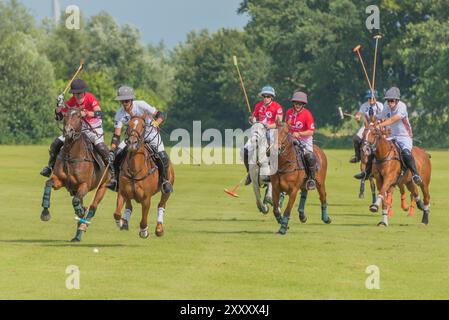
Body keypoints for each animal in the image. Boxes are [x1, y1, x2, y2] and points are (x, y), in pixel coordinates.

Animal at [40, 106, 110, 241]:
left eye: (78, 116)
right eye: (65, 115)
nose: (68, 131)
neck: (71, 155)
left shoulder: (84, 185)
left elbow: (77, 202)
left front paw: (81, 212)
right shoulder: (60, 181)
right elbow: (48, 184)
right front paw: (45, 213)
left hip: (102, 187)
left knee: (92, 207)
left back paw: (82, 226)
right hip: (74, 189)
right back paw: (77, 235)